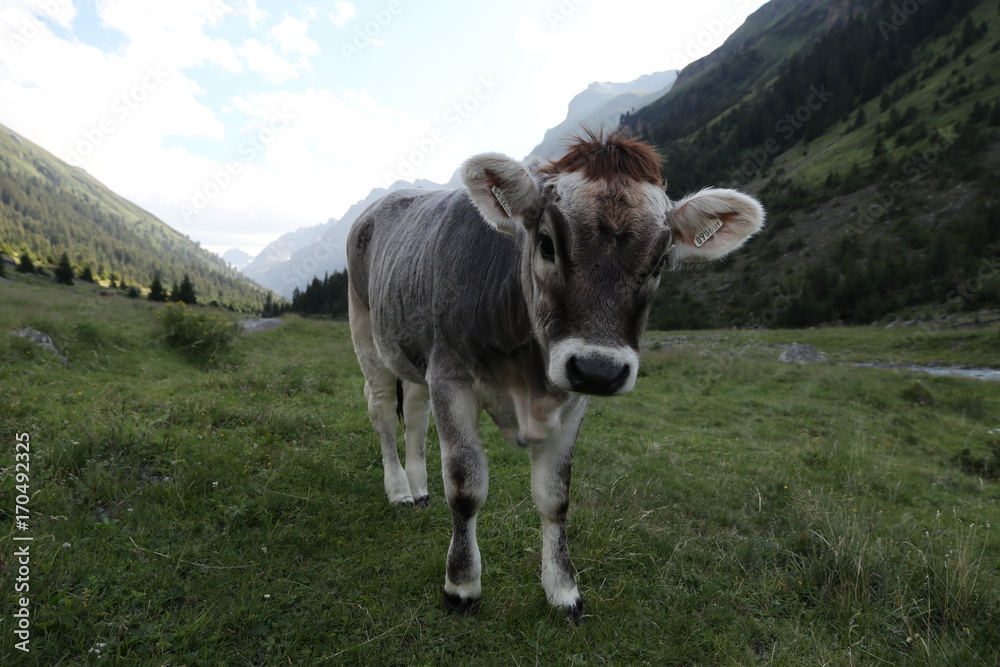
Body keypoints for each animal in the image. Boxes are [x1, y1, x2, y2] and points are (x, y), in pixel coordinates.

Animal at [348, 130, 760, 620]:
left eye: (660, 262)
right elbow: (467, 487)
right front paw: (461, 586)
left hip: (413, 353)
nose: (599, 369)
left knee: (413, 413)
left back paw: (419, 487)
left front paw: (563, 590)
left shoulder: (572, 398)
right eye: (546, 243)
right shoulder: (450, 375)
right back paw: (398, 490)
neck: (530, 380)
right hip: (365, 330)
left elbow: (555, 497)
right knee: (381, 412)